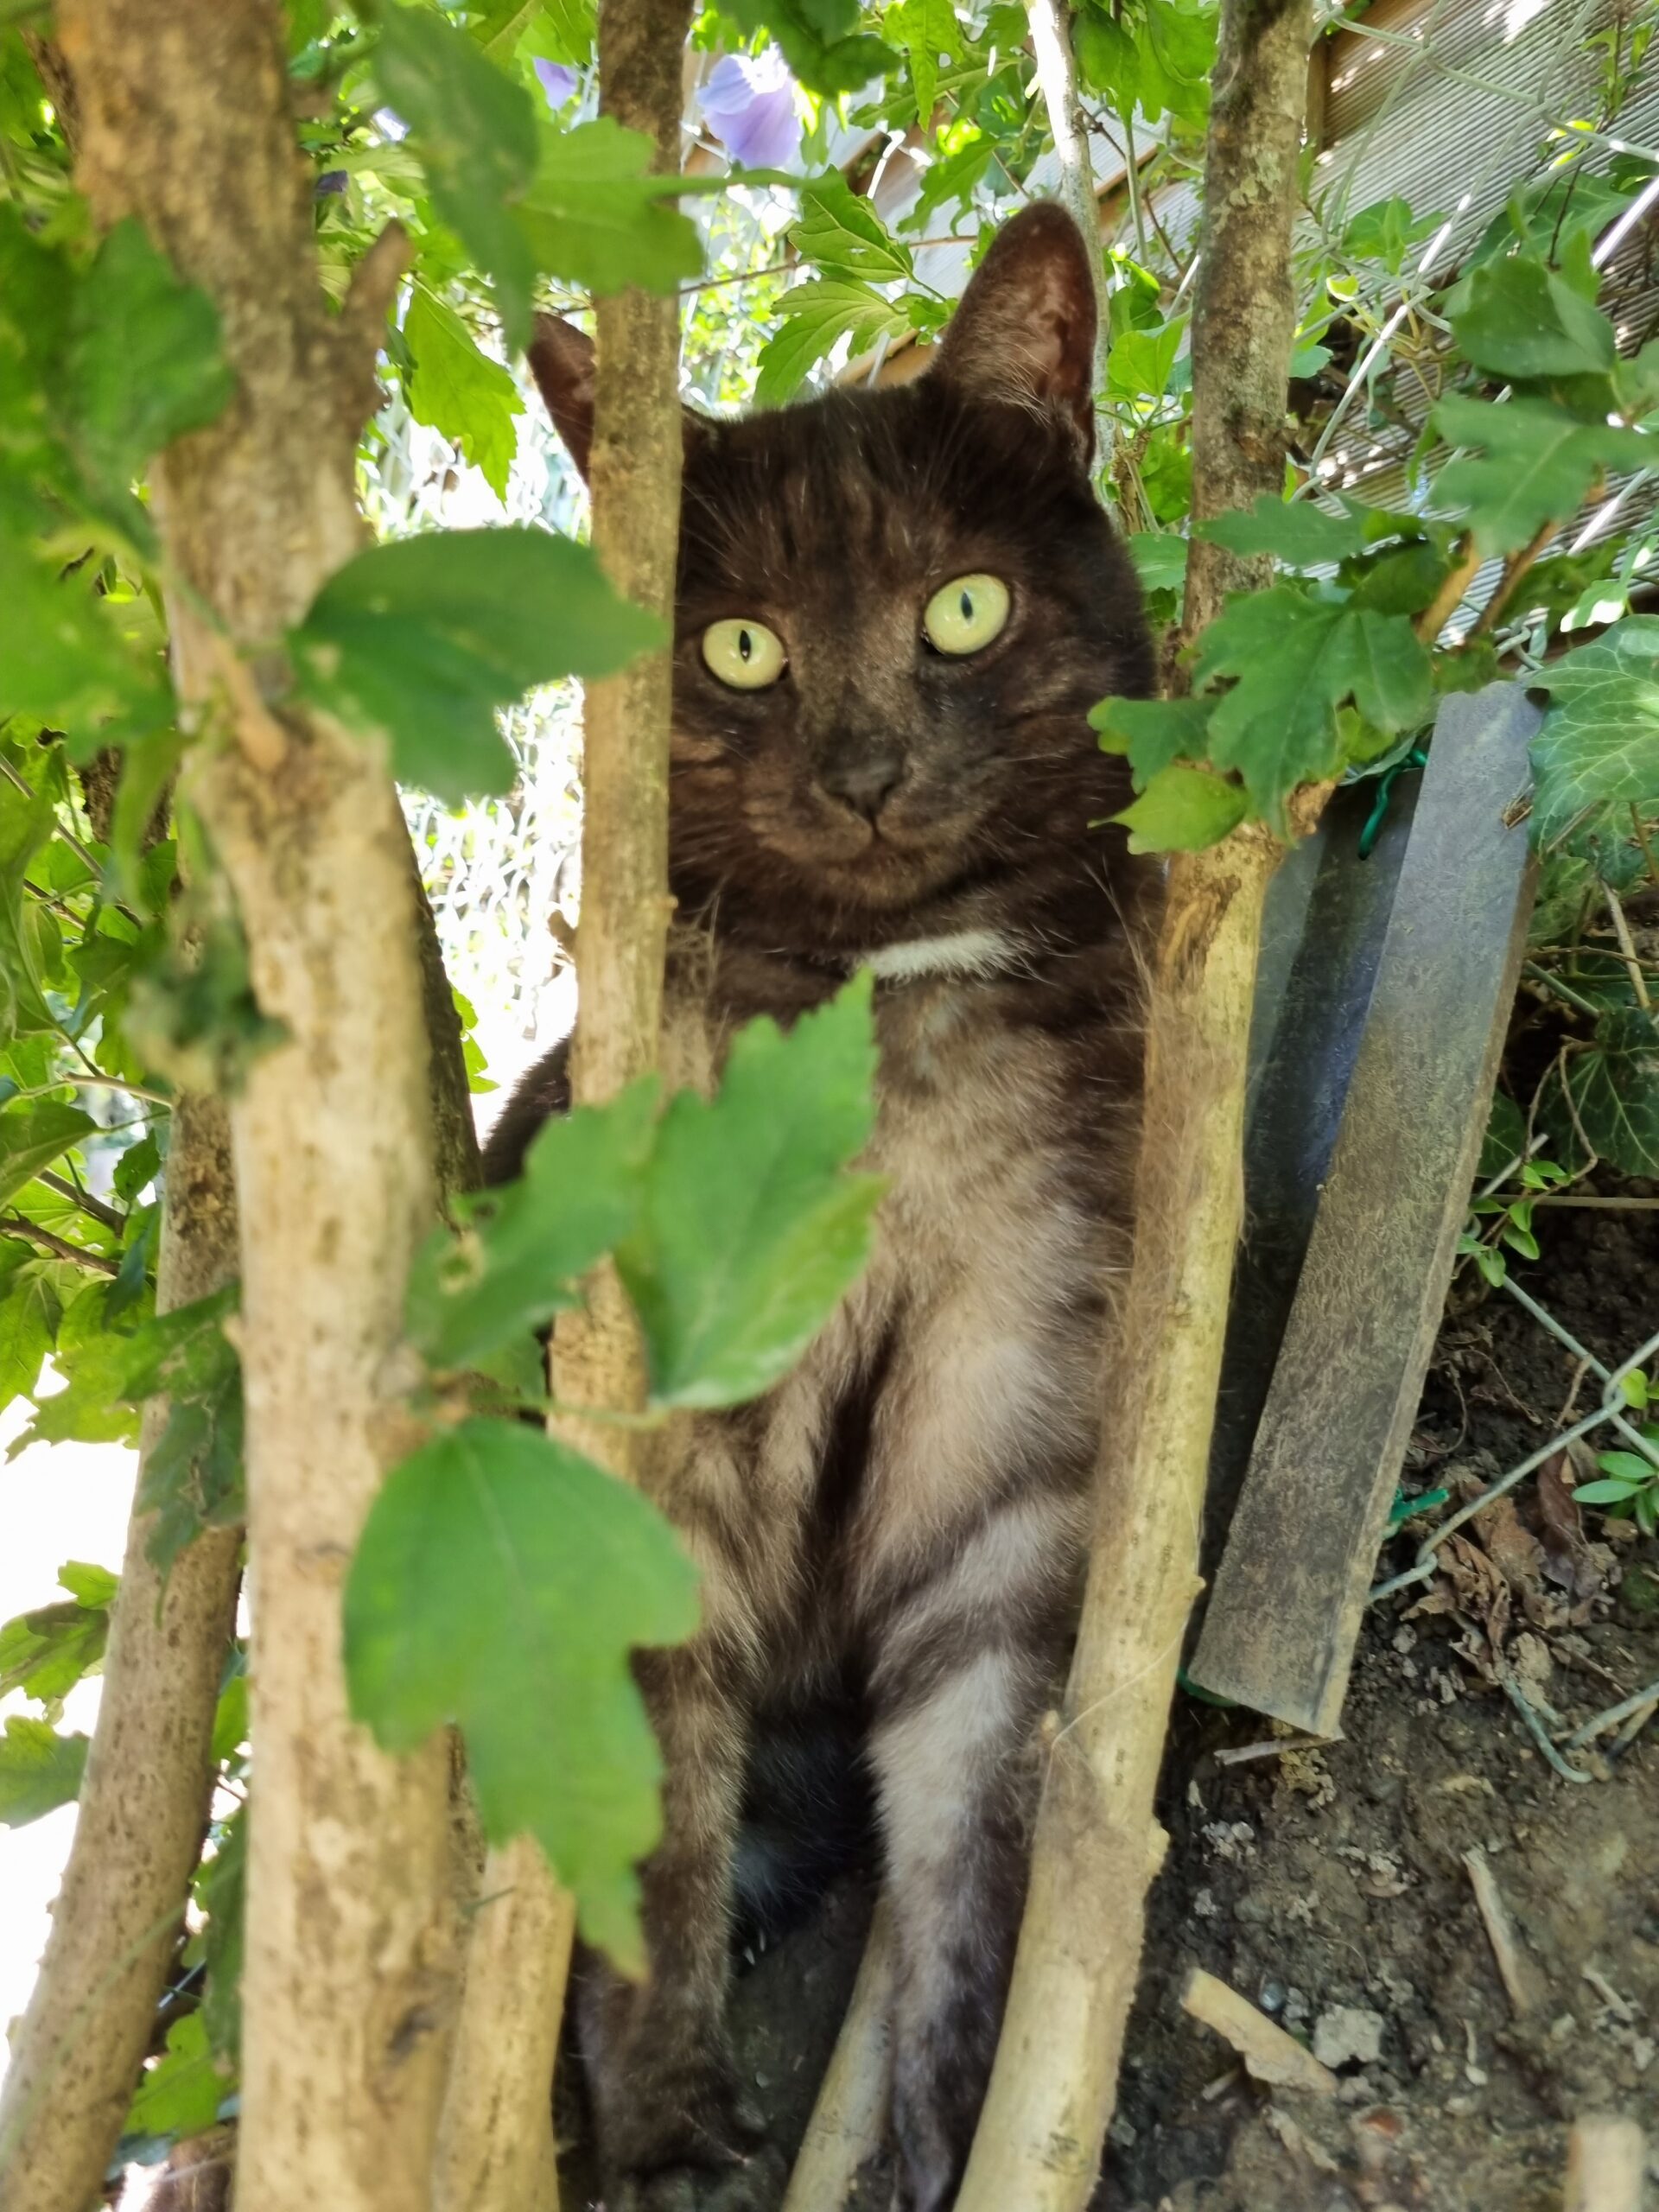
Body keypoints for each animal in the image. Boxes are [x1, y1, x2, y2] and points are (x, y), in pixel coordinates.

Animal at [485, 201, 1157, 2212]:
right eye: (742, 648)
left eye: (962, 608)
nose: (860, 774)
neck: (884, 1018)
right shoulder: (657, 1475)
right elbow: (647, 1826)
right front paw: (665, 2128)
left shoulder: (1012, 1460)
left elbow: (978, 1828)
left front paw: (947, 2127)